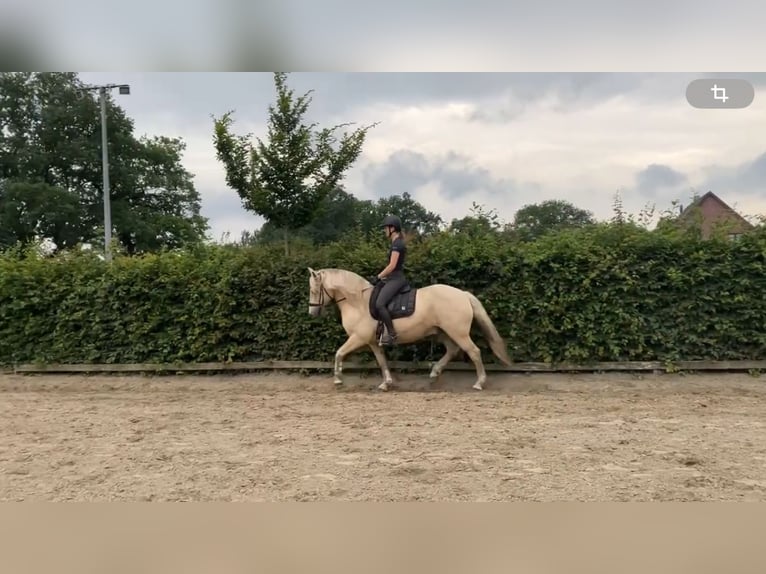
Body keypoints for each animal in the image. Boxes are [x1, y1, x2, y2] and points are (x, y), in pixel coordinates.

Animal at [306, 267, 512, 391]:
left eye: (314, 291)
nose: (312, 312)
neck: (358, 301)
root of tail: (462, 294)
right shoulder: (372, 342)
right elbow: (382, 361)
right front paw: (386, 383)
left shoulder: (358, 338)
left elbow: (339, 353)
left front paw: (337, 379)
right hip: (442, 332)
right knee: (452, 350)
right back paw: (434, 374)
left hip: (458, 333)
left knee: (474, 352)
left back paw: (479, 383)